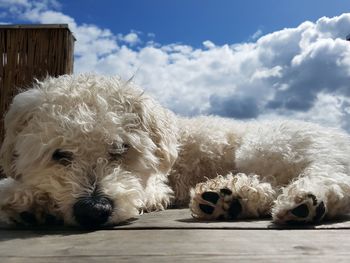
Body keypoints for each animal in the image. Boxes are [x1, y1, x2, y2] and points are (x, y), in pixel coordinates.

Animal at [0, 73, 350, 227]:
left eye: (121, 148)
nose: (93, 210)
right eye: (59, 155)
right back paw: (229, 198)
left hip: (267, 145)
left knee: (333, 176)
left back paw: (303, 200)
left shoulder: (155, 185)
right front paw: (29, 199)